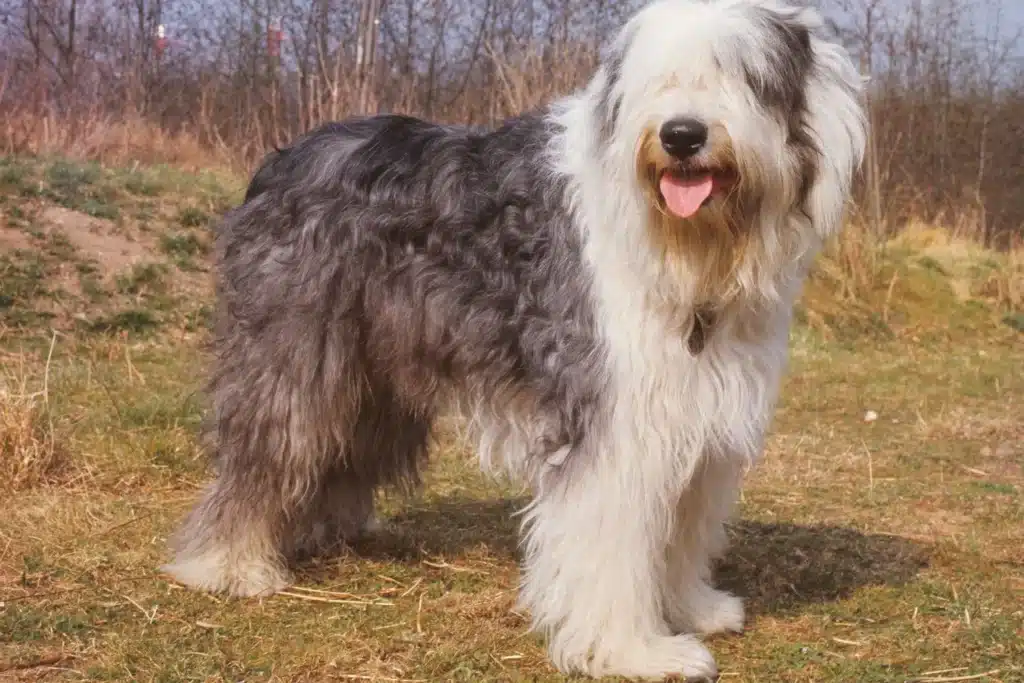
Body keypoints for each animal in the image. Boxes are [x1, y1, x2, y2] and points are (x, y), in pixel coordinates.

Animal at [163, 0, 868, 679]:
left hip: (375, 366)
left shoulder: (694, 410)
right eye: (657, 79)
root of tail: (282, 157)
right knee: (268, 447)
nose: (681, 135)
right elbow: (614, 542)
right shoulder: (612, 419)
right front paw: (633, 651)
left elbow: (683, 526)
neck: (687, 249)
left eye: (744, 76)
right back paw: (231, 564)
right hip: (294, 349)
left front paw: (693, 608)